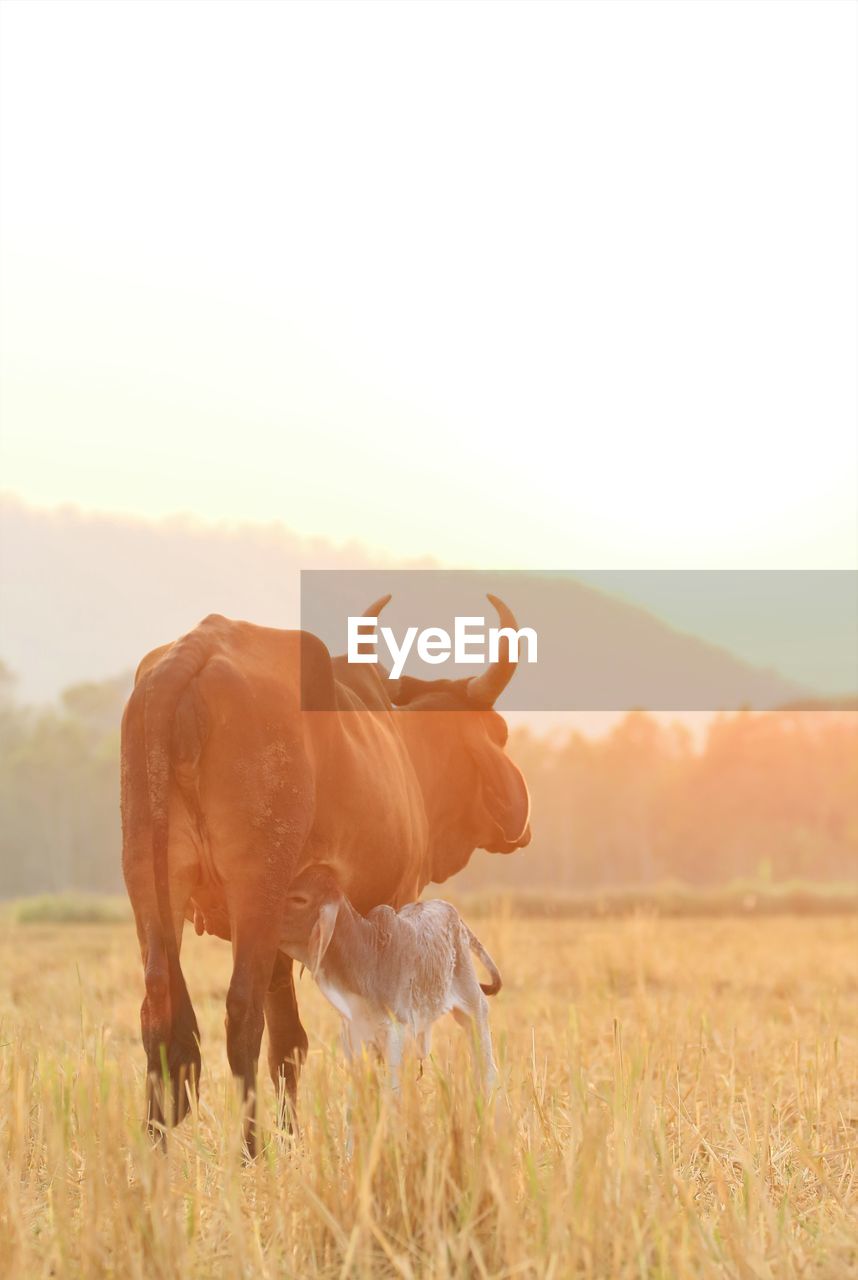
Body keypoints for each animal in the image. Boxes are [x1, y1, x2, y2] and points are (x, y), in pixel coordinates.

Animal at [121, 593, 530, 1157]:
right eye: (500, 733)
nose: (520, 818)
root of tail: (195, 651)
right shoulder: (391, 902)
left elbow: (289, 1042)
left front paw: (294, 1142)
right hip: (255, 888)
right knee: (240, 1013)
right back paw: (250, 1152)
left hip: (152, 886)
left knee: (161, 1013)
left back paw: (158, 1152)